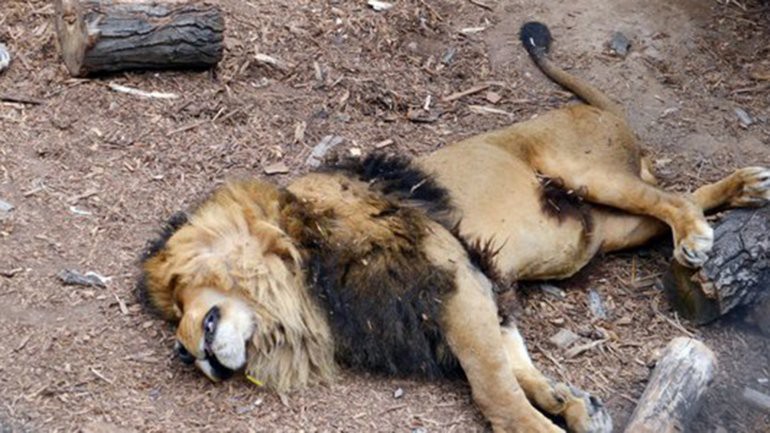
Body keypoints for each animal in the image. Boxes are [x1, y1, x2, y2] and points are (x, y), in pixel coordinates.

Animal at [139, 22, 770, 433]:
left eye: (185, 305)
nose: (182, 353)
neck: (301, 283)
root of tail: (598, 110)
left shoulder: (447, 277)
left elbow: (495, 387)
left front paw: (546, 419)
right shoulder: (473, 284)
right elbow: (516, 366)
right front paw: (571, 403)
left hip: (589, 173)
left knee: (670, 199)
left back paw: (702, 233)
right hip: (611, 228)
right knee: (670, 202)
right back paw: (745, 188)